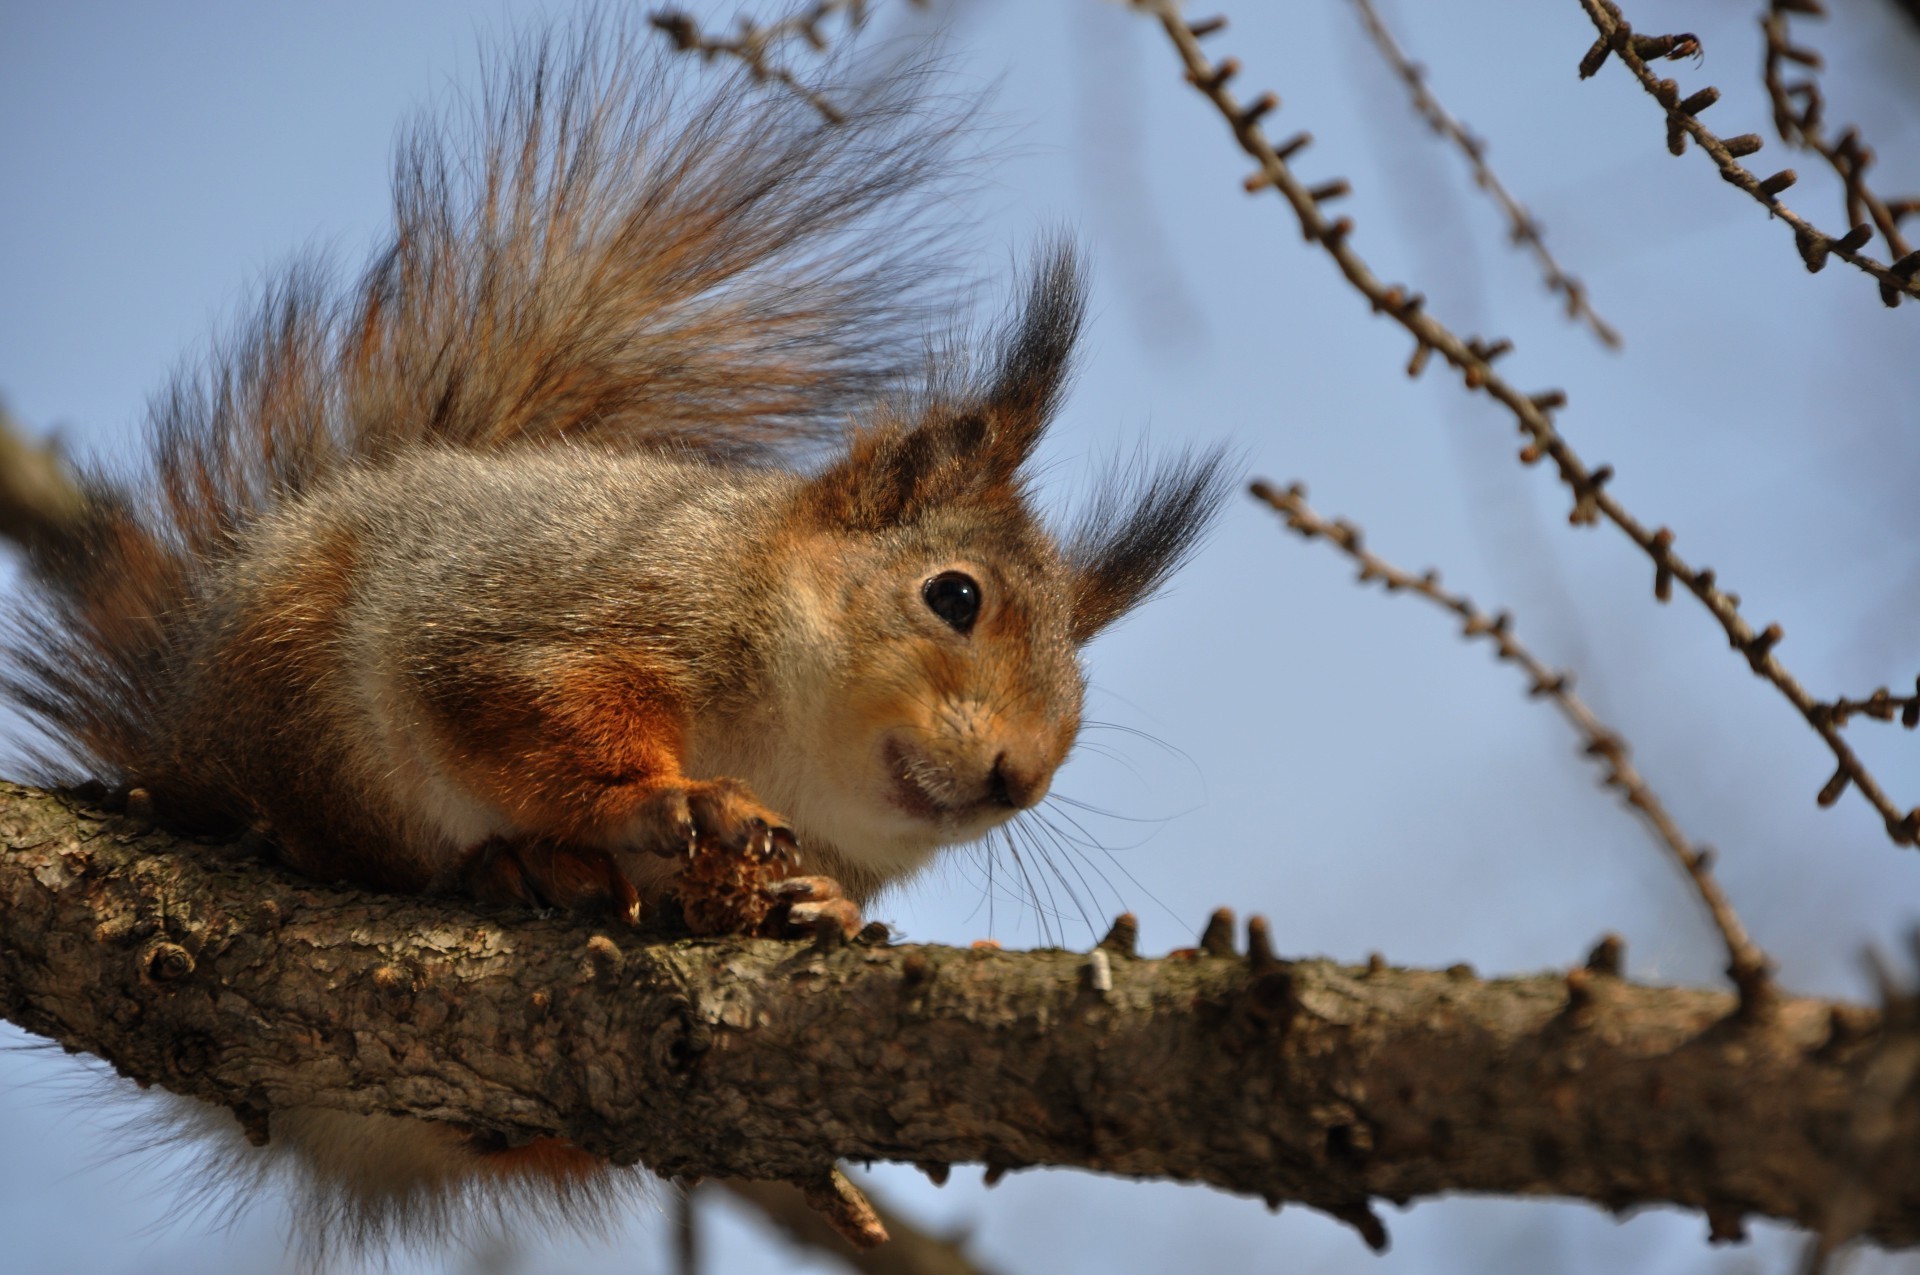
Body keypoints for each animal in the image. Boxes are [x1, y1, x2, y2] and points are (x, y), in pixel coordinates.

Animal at [0, 9, 1228, 1267]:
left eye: (1078, 696)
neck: (790, 732)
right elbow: (522, 709)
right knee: (313, 816)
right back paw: (461, 857)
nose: (1017, 778)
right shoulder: (554, 614)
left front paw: (822, 909)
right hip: (294, 680)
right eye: (955, 598)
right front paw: (662, 801)